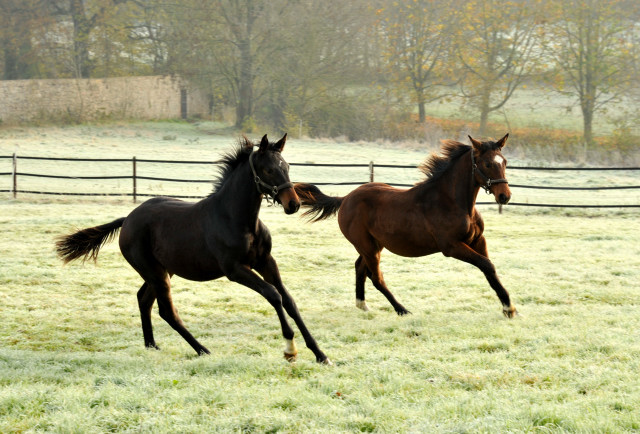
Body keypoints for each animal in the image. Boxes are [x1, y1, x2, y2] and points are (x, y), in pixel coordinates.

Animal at [55, 135, 330, 362]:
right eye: (268, 169)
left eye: (287, 167)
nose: (293, 204)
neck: (237, 219)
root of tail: (128, 219)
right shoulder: (235, 269)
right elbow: (273, 295)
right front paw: (290, 349)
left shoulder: (266, 261)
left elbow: (289, 301)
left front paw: (320, 354)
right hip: (154, 272)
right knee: (166, 310)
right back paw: (202, 350)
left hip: (162, 271)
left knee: (144, 299)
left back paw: (151, 345)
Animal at [296, 135, 520, 318]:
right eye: (488, 163)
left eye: (504, 162)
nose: (505, 196)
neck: (452, 202)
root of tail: (344, 199)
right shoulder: (452, 247)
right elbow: (486, 265)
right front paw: (508, 308)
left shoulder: (478, 240)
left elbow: (490, 269)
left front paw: (509, 308)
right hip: (367, 246)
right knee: (376, 277)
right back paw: (401, 309)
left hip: (374, 245)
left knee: (360, 267)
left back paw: (363, 304)